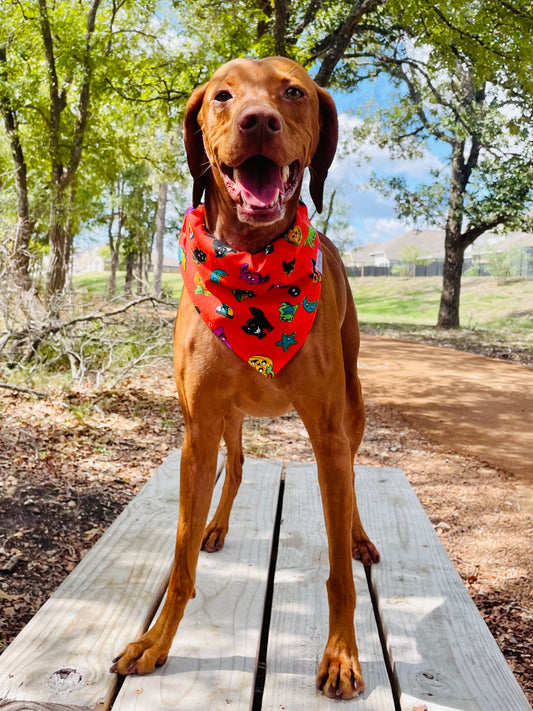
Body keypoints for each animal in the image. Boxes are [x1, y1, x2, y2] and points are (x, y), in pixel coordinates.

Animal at [111, 57, 378, 700]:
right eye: (223, 95)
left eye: (294, 92)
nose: (259, 121)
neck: (253, 266)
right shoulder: (198, 427)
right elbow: (180, 558)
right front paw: (157, 641)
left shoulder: (327, 434)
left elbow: (338, 572)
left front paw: (340, 654)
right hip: (227, 418)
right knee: (233, 468)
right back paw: (216, 523)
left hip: (352, 405)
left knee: (353, 480)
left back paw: (357, 535)